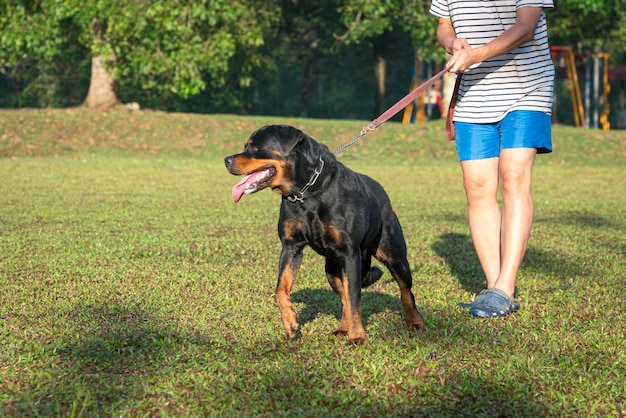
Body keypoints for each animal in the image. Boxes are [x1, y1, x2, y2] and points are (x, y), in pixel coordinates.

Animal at [224, 125, 424, 346]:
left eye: (253, 147)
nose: (226, 160)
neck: (306, 193)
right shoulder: (291, 246)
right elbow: (281, 290)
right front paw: (291, 325)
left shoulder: (350, 254)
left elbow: (355, 298)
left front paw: (358, 336)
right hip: (331, 269)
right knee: (344, 297)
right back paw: (343, 328)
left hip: (393, 255)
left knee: (405, 291)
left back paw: (415, 322)